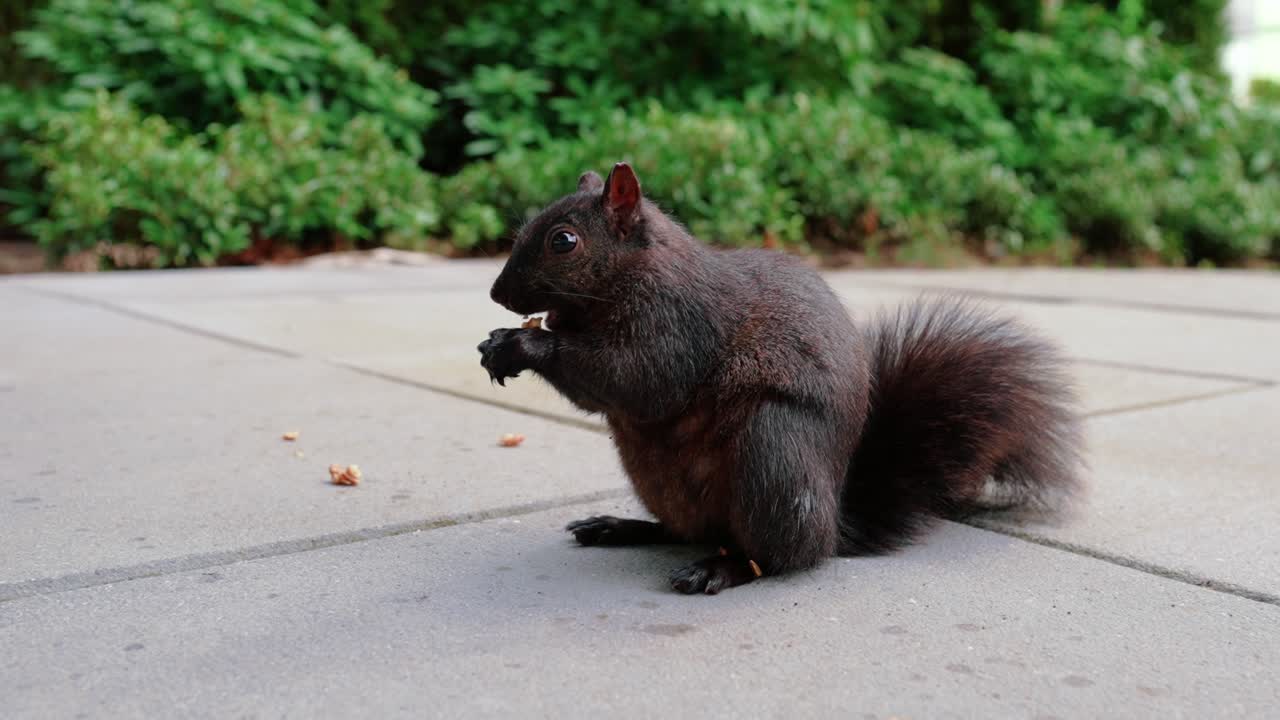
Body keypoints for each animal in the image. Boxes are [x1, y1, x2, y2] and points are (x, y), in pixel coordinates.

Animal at [478, 162, 1084, 595]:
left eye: (564, 240)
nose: (497, 294)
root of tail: (832, 522)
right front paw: (497, 344)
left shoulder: (678, 324)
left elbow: (639, 380)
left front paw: (522, 344)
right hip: (656, 477)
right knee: (685, 530)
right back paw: (622, 527)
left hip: (772, 453)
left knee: (778, 556)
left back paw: (720, 570)